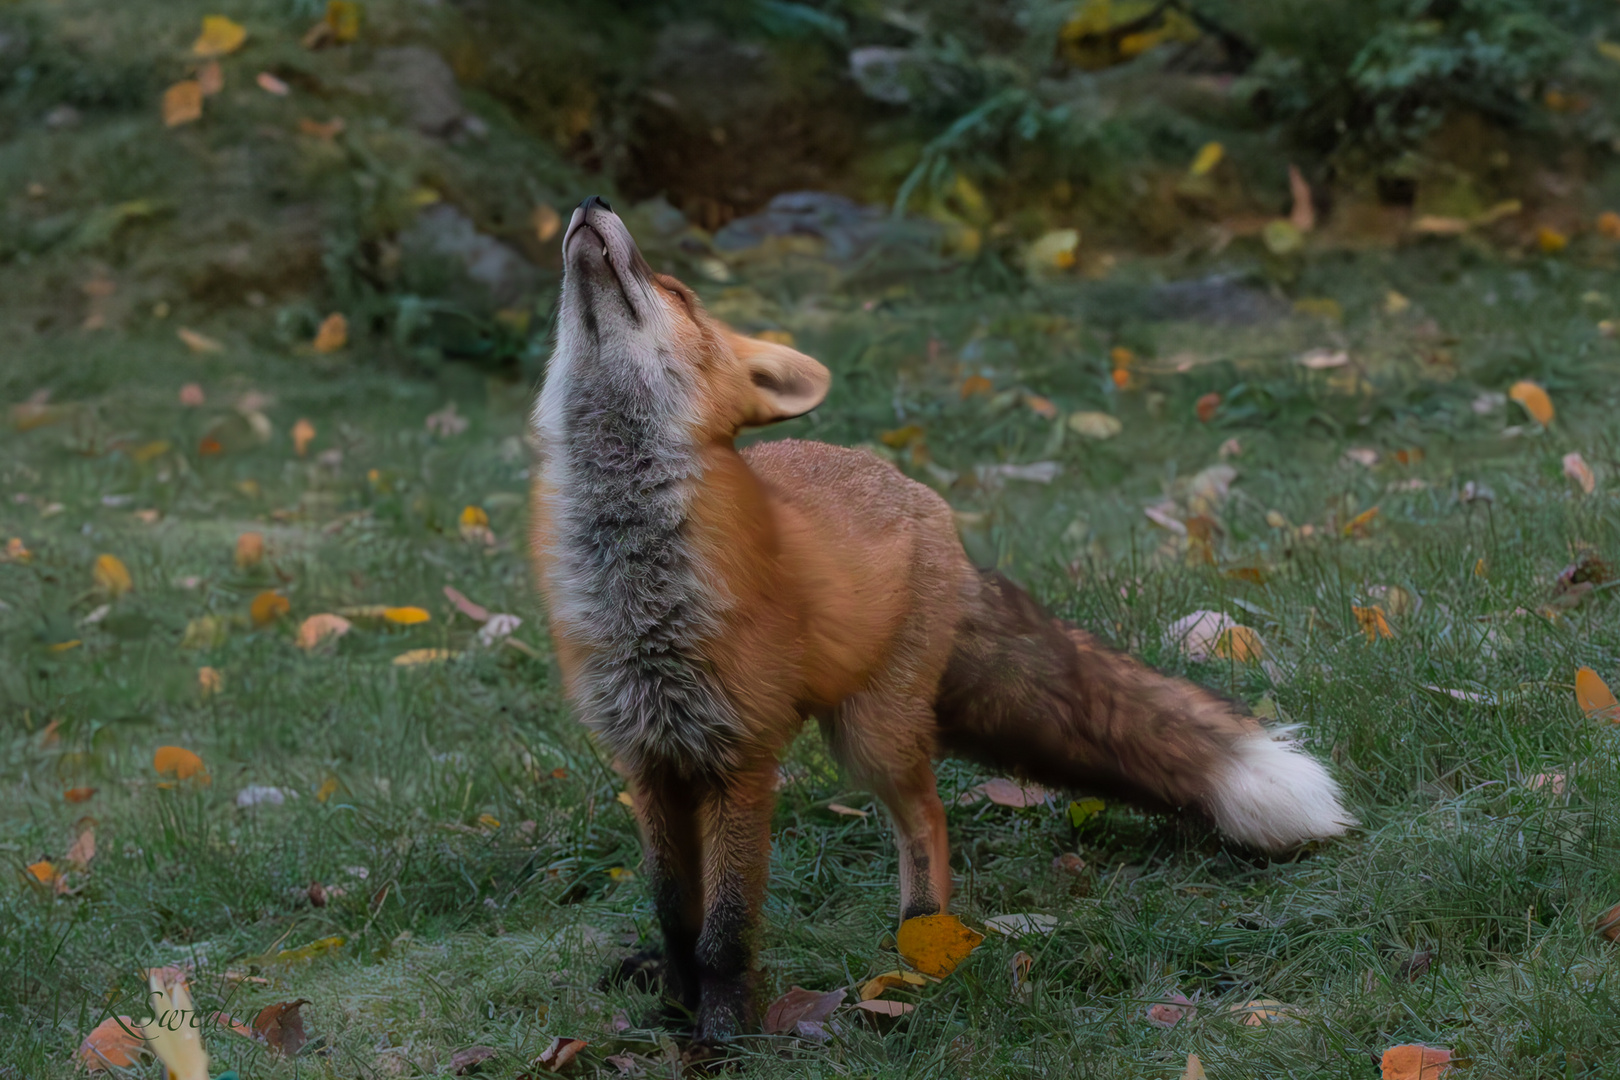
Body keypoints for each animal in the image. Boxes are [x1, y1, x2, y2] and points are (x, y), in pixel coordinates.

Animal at [531, 198, 1354, 1042]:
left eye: (677, 293)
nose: (592, 203)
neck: (637, 598)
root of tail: (927, 502)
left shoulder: (742, 757)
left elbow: (726, 931)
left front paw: (725, 1033)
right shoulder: (647, 758)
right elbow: (674, 913)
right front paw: (673, 1003)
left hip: (871, 732)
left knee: (925, 816)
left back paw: (919, 942)